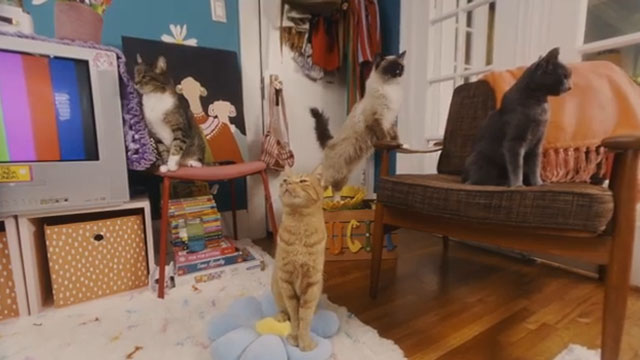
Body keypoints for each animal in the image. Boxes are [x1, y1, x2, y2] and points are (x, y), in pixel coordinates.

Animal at [272, 167, 328, 352]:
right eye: (285, 180)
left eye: (303, 181)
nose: (287, 183)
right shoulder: (286, 281)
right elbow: (295, 316)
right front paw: (295, 338)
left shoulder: (311, 284)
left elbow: (304, 317)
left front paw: (305, 342)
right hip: (276, 287)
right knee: (283, 309)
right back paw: (281, 316)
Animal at [310, 50, 404, 194]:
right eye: (391, 67)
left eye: (400, 66)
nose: (398, 72)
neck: (391, 89)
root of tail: (330, 141)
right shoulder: (376, 118)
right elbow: (384, 135)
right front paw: (388, 143)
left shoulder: (390, 120)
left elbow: (394, 134)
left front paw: (397, 144)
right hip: (332, 174)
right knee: (321, 185)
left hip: (342, 176)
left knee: (335, 190)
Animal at [462, 47, 572, 187]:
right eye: (564, 76)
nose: (570, 87)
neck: (539, 102)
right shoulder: (514, 141)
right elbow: (516, 166)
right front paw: (517, 185)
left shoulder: (537, 143)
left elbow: (535, 166)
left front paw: (538, 184)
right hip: (480, 159)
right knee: (480, 180)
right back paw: (501, 183)